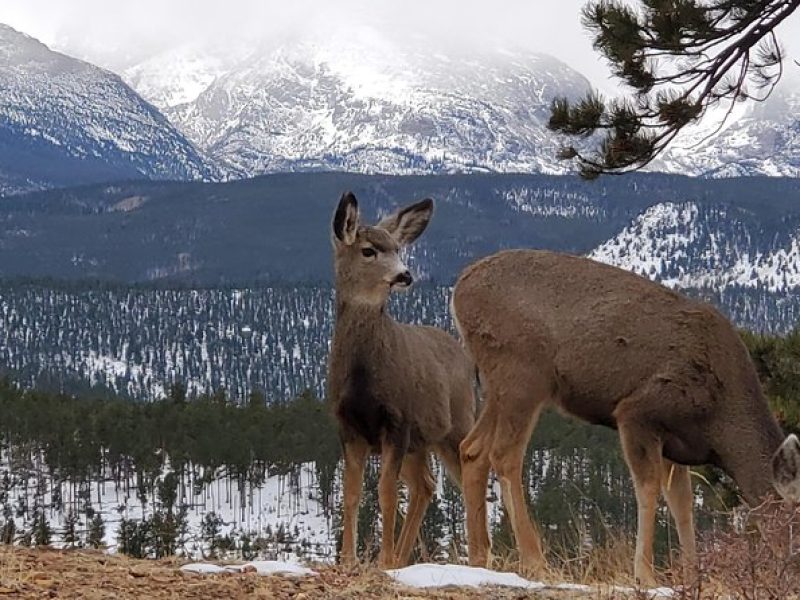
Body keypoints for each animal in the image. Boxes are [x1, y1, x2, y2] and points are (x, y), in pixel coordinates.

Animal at [326, 192, 476, 568]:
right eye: (369, 250)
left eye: (397, 248)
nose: (405, 275)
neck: (364, 379)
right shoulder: (347, 425)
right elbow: (351, 493)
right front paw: (348, 560)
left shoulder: (397, 421)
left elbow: (386, 493)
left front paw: (381, 561)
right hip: (419, 443)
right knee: (426, 485)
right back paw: (403, 558)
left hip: (455, 425)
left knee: (472, 476)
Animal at [450, 248, 800, 584]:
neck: (720, 422)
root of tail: (459, 292)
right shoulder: (639, 411)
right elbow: (648, 487)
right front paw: (645, 574)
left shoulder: (676, 443)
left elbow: (682, 503)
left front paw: (691, 575)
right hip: (522, 372)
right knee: (504, 455)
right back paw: (534, 561)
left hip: (498, 385)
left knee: (472, 449)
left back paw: (480, 557)